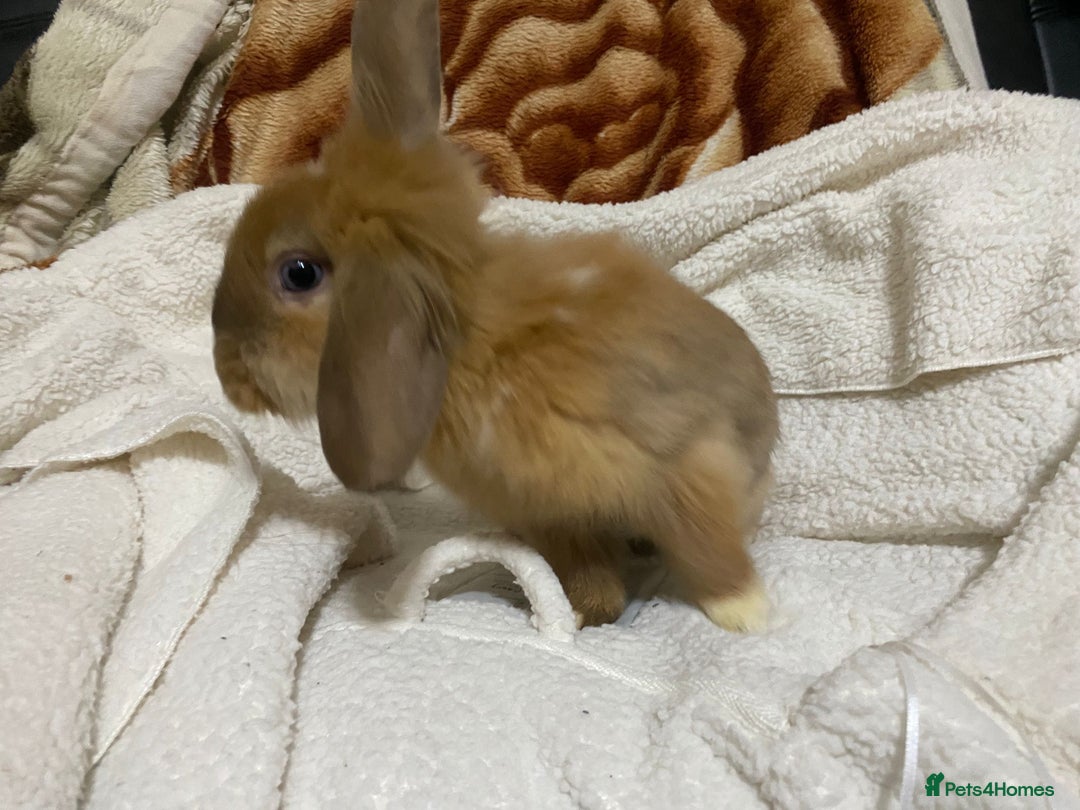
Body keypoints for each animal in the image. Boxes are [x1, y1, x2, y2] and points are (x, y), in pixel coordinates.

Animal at [211, 0, 779, 632]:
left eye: (299, 274)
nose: (227, 377)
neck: (464, 340)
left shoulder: (674, 468)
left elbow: (702, 550)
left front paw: (742, 613)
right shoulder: (549, 517)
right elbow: (587, 572)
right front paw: (582, 611)